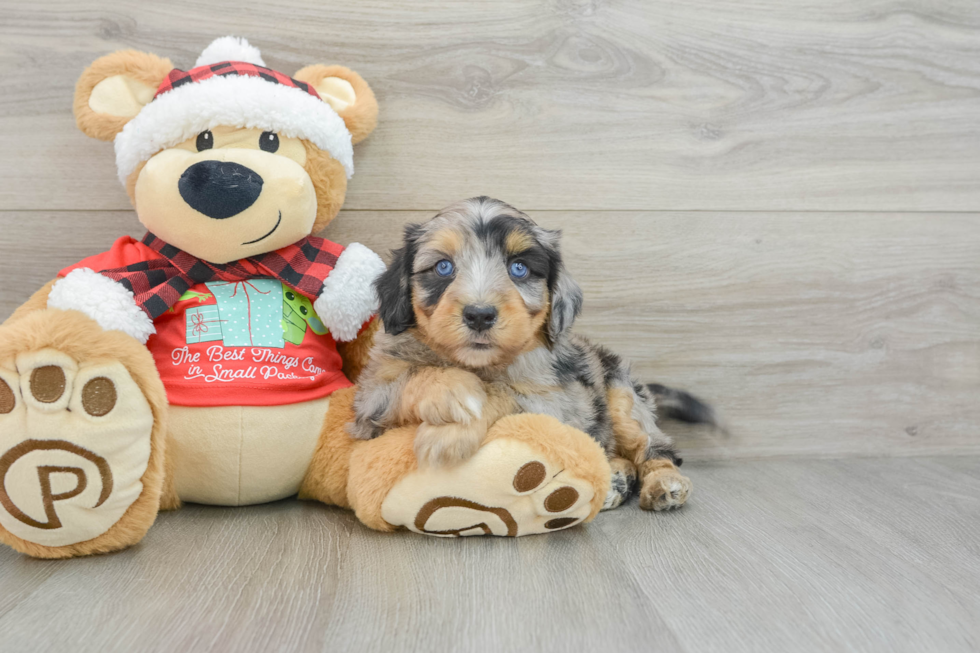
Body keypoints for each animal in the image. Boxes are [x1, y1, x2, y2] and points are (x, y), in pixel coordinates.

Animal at [348, 196, 716, 512]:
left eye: (519, 268)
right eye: (442, 267)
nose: (479, 315)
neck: (480, 366)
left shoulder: (555, 407)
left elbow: (503, 393)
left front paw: (450, 432)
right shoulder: (371, 400)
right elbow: (414, 376)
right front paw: (453, 396)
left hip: (624, 398)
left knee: (655, 448)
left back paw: (664, 483)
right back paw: (615, 479)